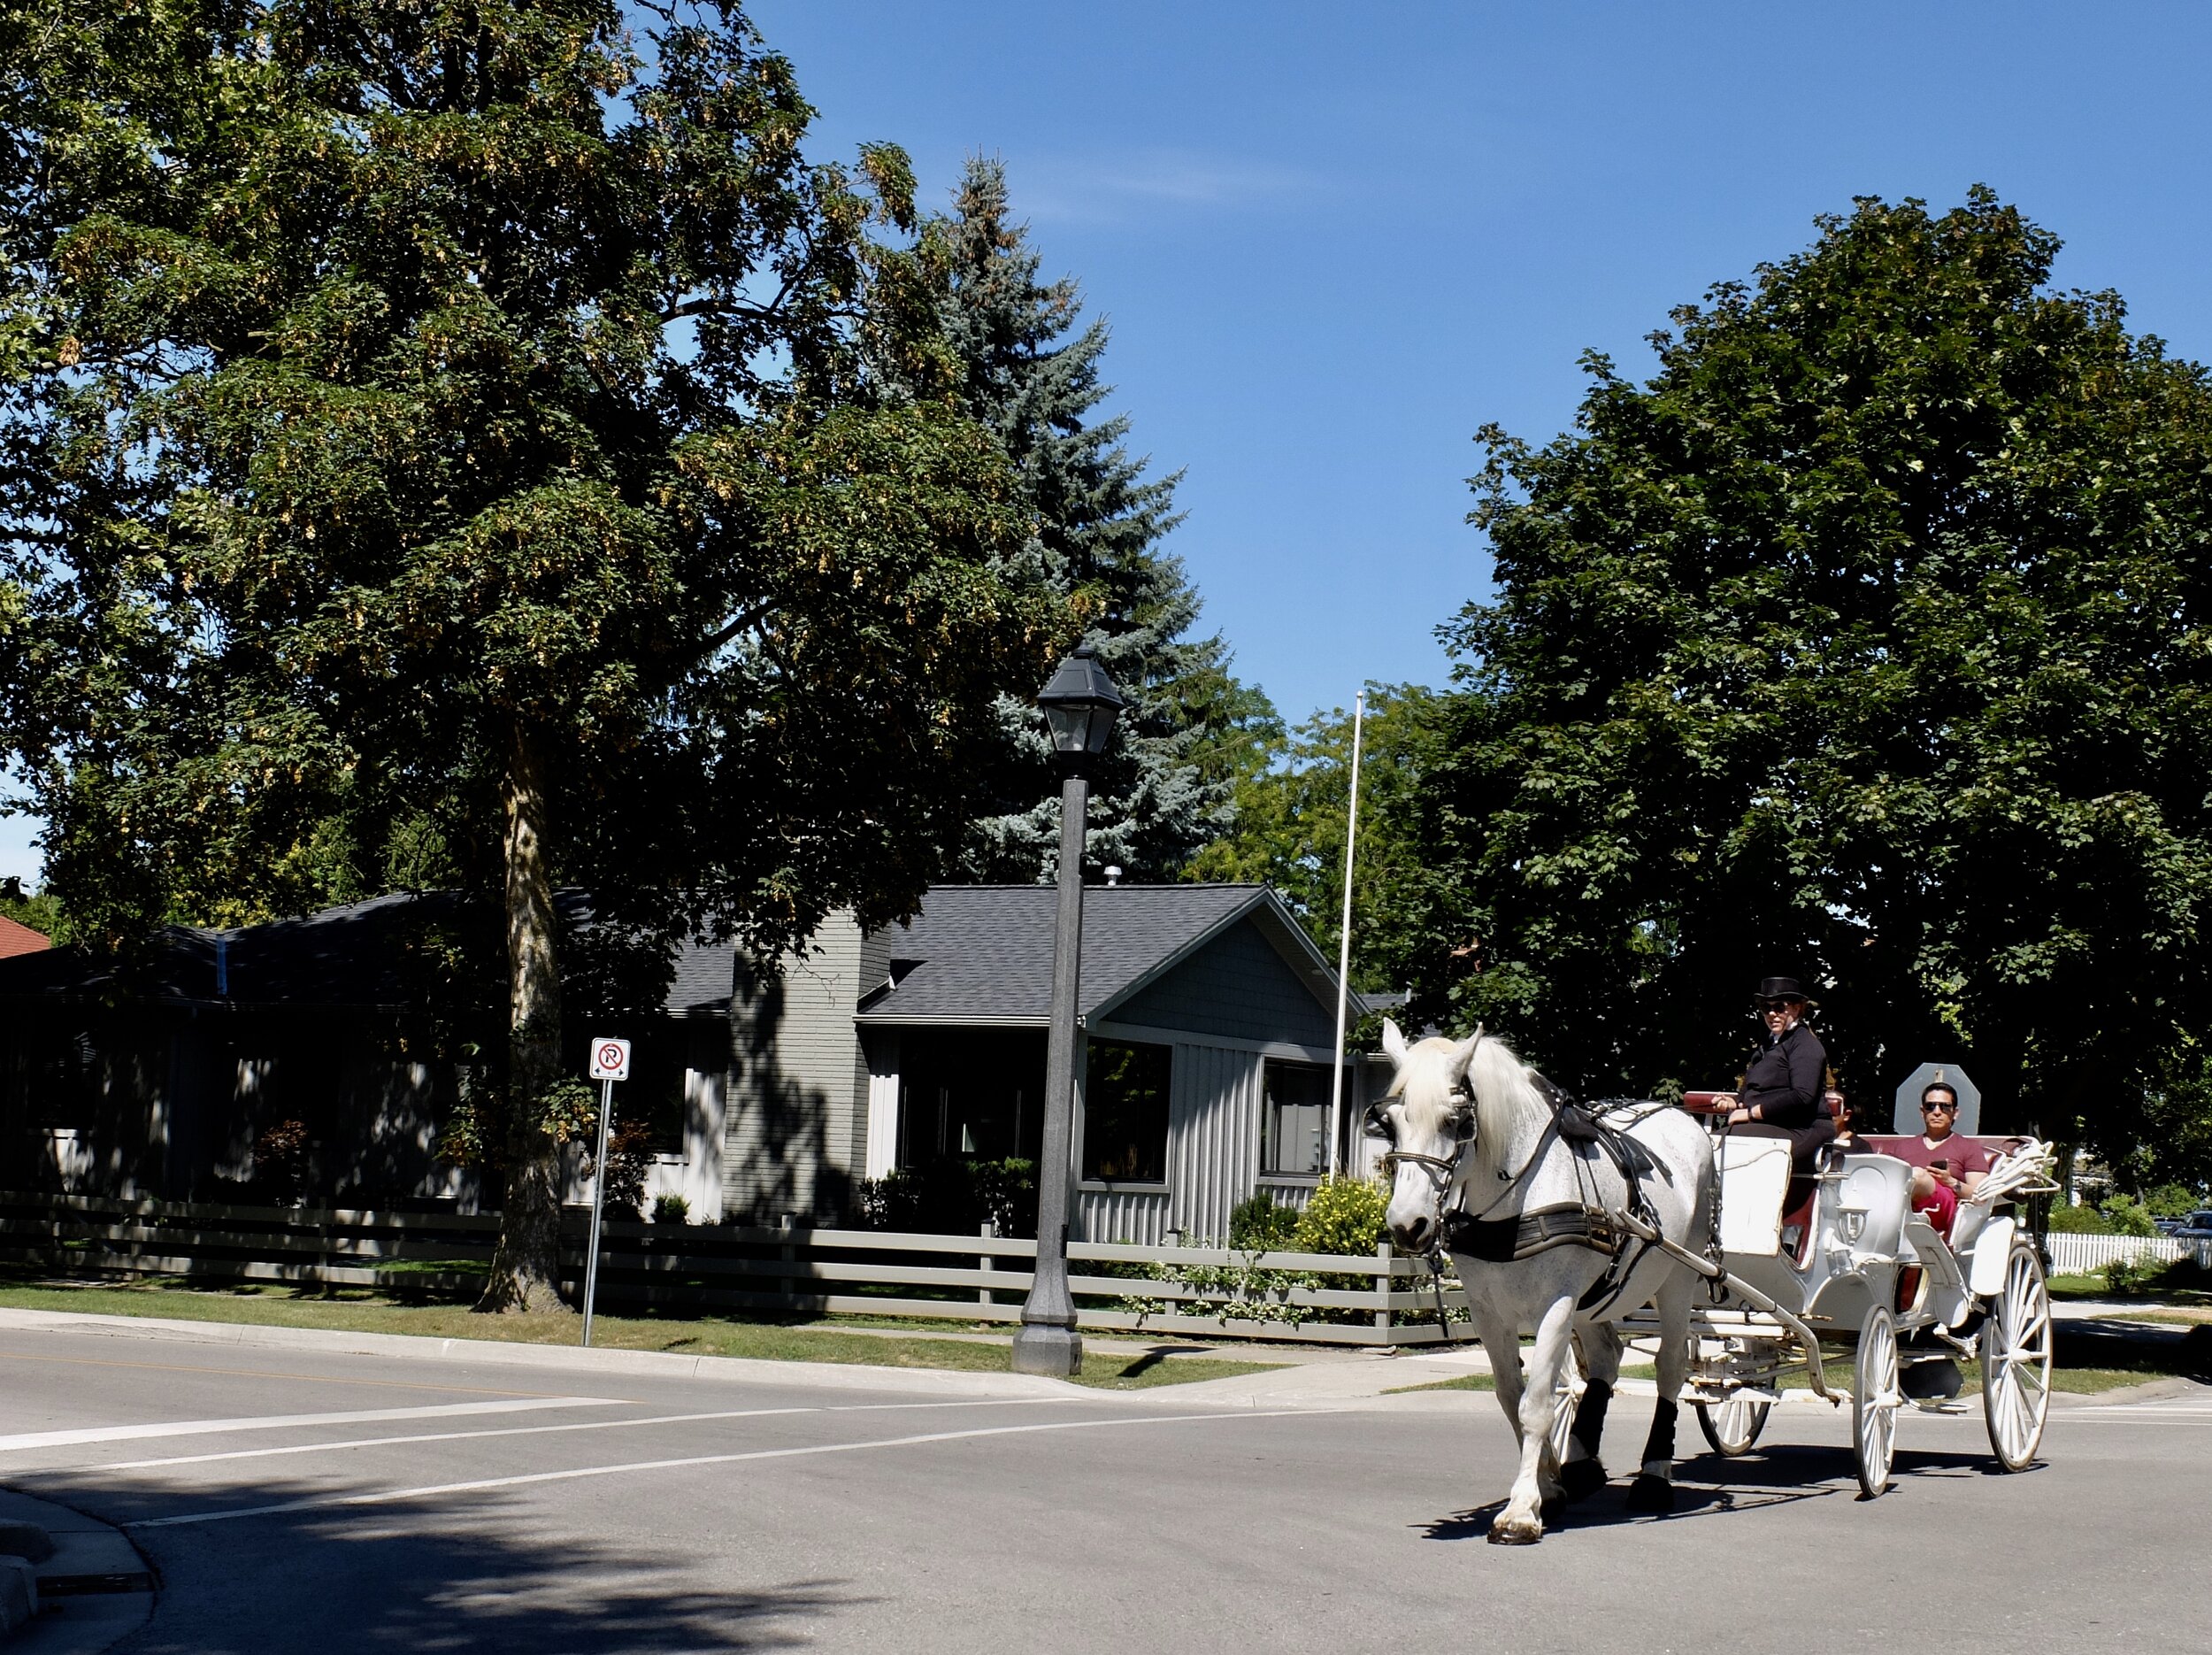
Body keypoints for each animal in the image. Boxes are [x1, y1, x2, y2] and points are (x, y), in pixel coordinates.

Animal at [1371, 1013, 1717, 1549]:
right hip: (1595, 1298)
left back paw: (1654, 1477)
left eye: (1457, 1122)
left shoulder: (1556, 1305)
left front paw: (1519, 1513)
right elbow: (1511, 1397)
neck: (1517, 1197)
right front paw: (1548, 1487)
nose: (1408, 1225)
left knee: (1670, 1367)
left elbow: (1537, 1403)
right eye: (1389, 1124)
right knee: (1606, 1357)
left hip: (1678, 1279)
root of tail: (1682, 1117)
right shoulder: (1488, 1311)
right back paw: (1583, 1464)